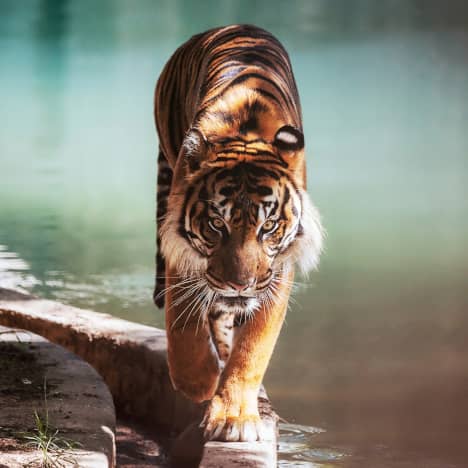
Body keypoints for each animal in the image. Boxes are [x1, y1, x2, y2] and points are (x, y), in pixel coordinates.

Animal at [152, 24, 324, 442]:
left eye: (268, 227)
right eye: (217, 224)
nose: (239, 285)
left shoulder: (277, 273)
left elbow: (253, 349)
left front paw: (233, 418)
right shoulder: (184, 255)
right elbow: (182, 321)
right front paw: (199, 382)